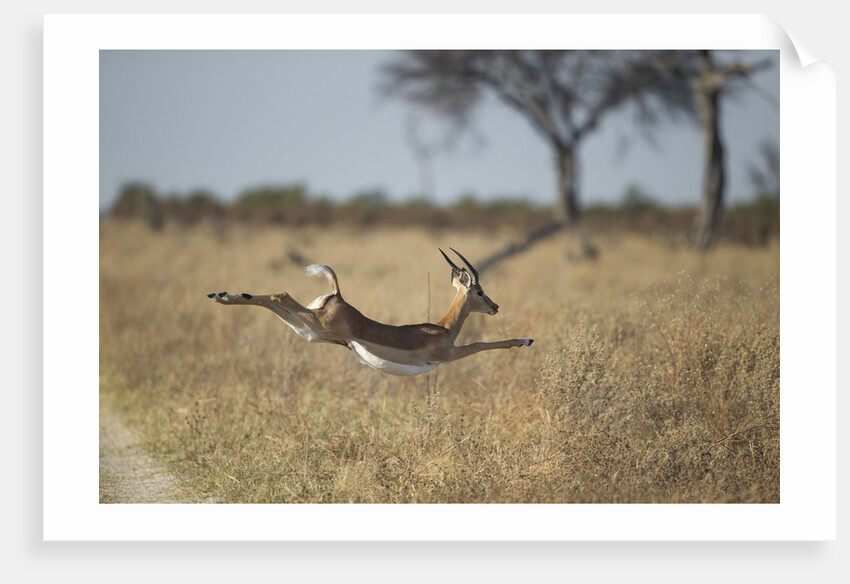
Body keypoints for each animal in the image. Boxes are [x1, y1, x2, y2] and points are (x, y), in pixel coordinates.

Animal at [207, 248, 533, 376]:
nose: (495, 307)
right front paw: (525, 341)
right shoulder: (449, 354)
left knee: (273, 301)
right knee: (281, 293)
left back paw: (220, 295)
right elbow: (481, 343)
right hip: (318, 327)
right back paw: (220, 295)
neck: (443, 328)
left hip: (309, 330)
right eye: (479, 291)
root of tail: (337, 294)